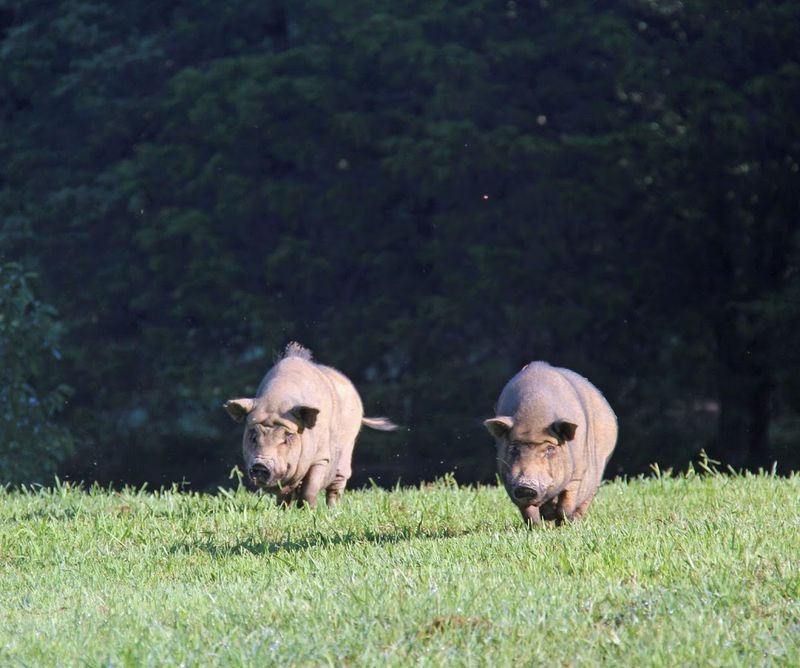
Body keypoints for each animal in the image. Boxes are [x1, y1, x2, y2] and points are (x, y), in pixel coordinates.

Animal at [224, 342, 398, 507]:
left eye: (288, 436)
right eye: (253, 435)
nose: (261, 464)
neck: (277, 404)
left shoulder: (321, 458)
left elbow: (310, 489)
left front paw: (309, 510)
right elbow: (284, 495)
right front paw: (284, 510)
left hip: (346, 453)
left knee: (336, 487)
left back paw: (333, 510)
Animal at [484, 362, 617, 527]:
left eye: (550, 448)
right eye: (514, 448)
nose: (526, 486)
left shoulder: (577, 475)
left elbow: (567, 501)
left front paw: (563, 522)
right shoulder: (509, 481)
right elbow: (527, 510)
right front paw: (538, 526)